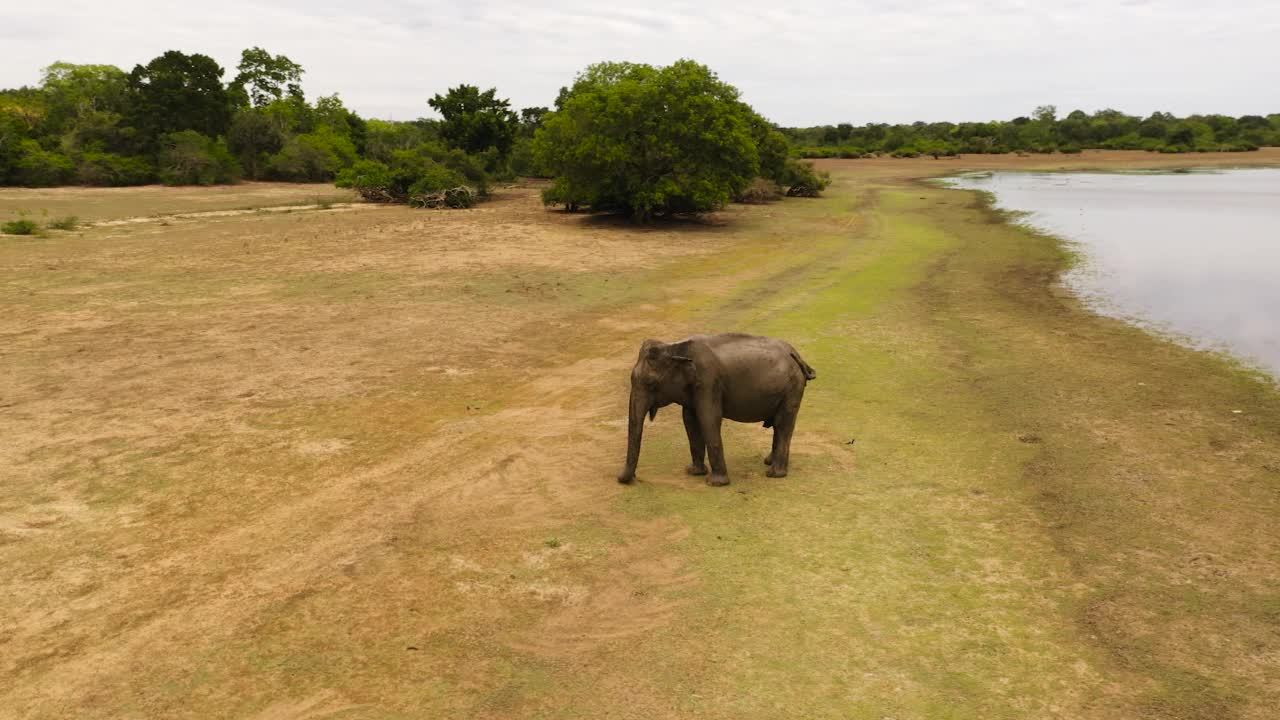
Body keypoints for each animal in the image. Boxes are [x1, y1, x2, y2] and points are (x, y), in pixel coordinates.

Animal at [614, 333, 814, 484]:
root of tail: (795, 355)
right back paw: (769, 462)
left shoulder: (708, 381)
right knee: (779, 426)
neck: (674, 347)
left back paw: (774, 474)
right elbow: (690, 421)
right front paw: (694, 472)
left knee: (782, 424)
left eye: (650, 383)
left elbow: (708, 419)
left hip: (792, 389)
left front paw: (715, 482)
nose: (621, 478)